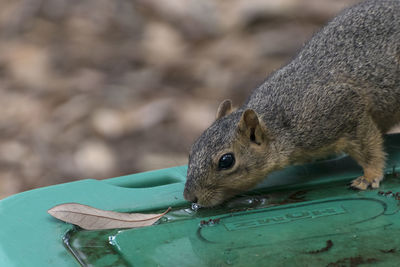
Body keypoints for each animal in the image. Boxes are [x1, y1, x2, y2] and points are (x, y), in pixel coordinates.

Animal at [184, 0, 400, 208]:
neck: (280, 124)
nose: (190, 197)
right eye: (192, 149)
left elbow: (368, 147)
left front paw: (369, 176)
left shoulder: (344, 107)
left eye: (226, 161)